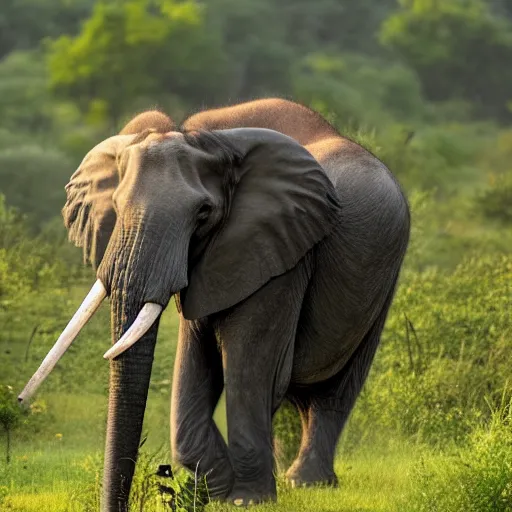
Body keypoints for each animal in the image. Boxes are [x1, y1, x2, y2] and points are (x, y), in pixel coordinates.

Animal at [20, 98, 410, 510]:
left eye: (203, 214)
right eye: (114, 203)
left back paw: (306, 484)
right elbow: (197, 357)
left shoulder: (277, 247)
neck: (206, 139)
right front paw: (210, 490)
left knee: (333, 391)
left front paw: (244, 500)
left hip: (384, 275)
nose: (20, 399)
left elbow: (249, 364)